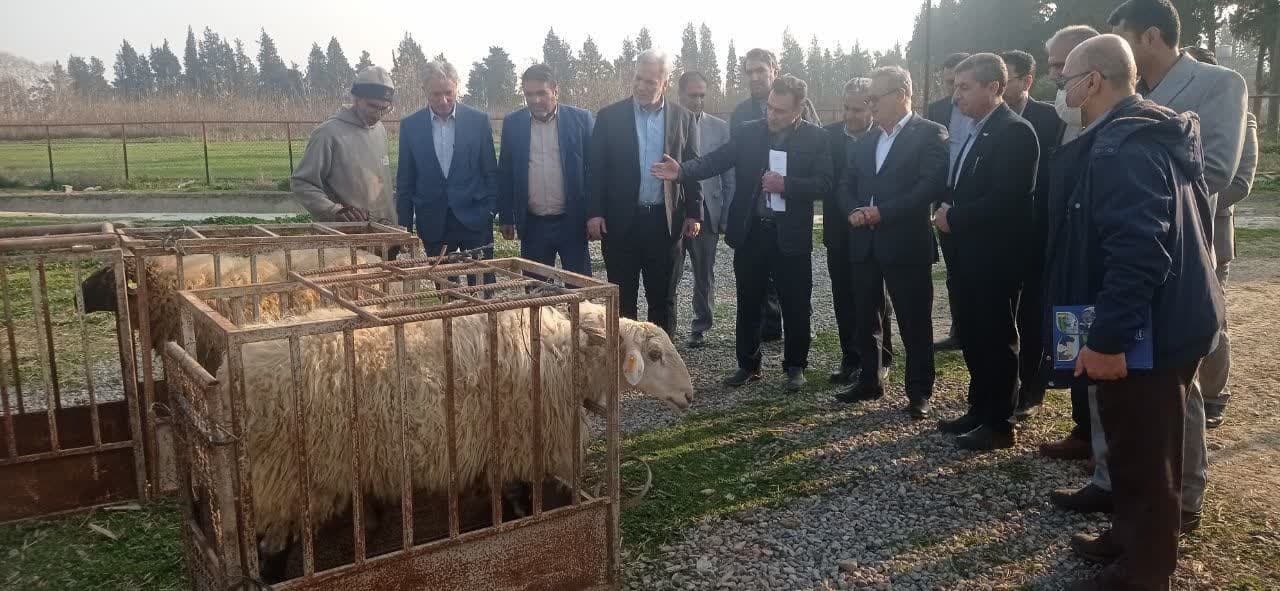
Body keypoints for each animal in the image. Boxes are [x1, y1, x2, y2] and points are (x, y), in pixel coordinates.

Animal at [223, 301, 693, 577]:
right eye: (654, 355)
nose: (691, 395)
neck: (563, 356)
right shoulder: (518, 444)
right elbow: (520, 501)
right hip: (285, 478)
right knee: (270, 553)